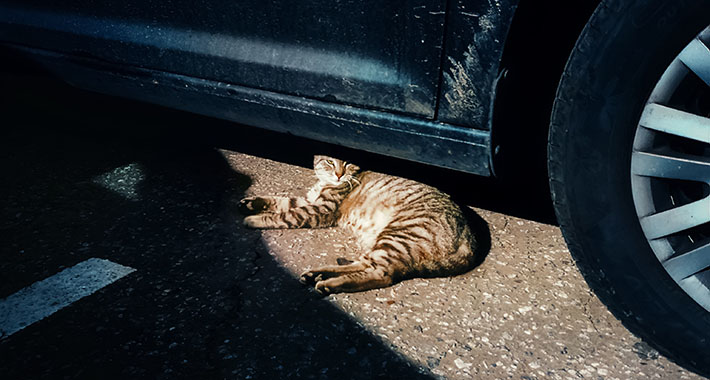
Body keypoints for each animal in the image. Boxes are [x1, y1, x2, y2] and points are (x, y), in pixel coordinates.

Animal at [239, 154, 478, 294]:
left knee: (381, 274)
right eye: (330, 162)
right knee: (364, 265)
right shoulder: (308, 201)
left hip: (398, 236)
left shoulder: (317, 210)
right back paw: (320, 274)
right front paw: (253, 203)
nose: (338, 174)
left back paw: (329, 282)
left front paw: (255, 219)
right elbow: (280, 200)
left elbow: (284, 215)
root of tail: (469, 237)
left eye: (346, 163)